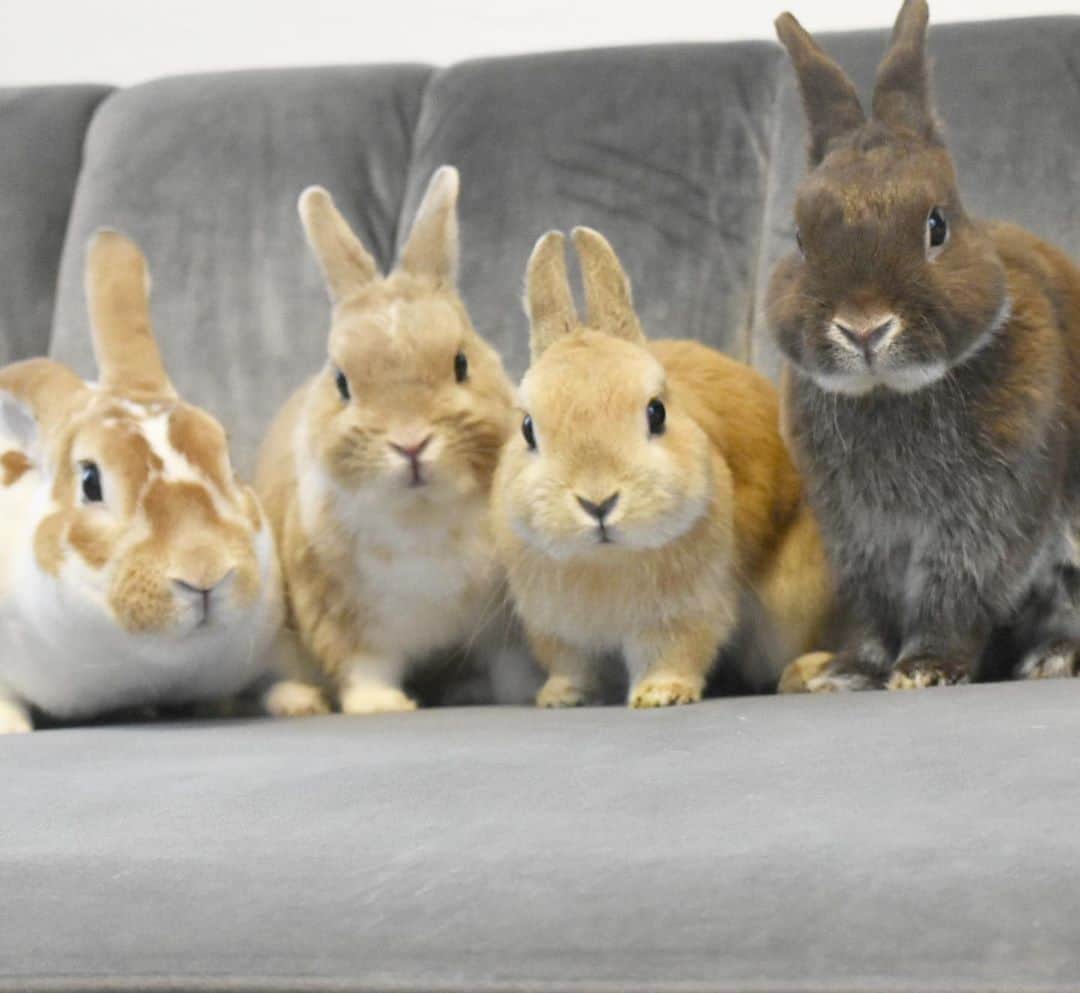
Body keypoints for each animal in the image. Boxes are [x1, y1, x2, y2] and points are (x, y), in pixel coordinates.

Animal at [256, 166, 540, 715]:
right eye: (342, 382)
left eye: (461, 363)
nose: (411, 444)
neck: (420, 514)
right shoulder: (339, 617)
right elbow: (363, 668)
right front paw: (382, 706)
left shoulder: (501, 625)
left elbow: (510, 668)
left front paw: (529, 694)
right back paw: (298, 702)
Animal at [492, 227, 833, 708]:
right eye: (526, 429)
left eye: (656, 413)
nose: (598, 502)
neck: (605, 560)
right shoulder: (556, 627)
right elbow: (571, 664)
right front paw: (560, 696)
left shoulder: (684, 611)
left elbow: (672, 651)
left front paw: (660, 694)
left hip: (794, 601)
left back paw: (803, 674)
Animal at [767, 0, 1080, 692]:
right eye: (800, 238)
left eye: (937, 225)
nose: (863, 328)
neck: (890, 393)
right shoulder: (860, 538)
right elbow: (874, 605)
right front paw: (851, 672)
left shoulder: (983, 519)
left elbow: (956, 591)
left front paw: (925, 669)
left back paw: (1055, 659)